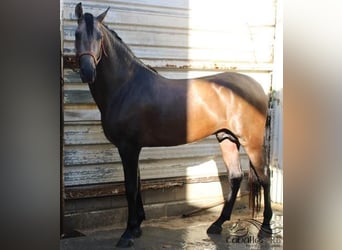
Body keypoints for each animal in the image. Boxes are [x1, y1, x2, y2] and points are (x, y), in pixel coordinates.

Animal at [74, 2, 272, 247]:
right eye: (76, 34)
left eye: (99, 37)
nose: (87, 72)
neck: (126, 86)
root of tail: (257, 86)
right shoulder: (133, 148)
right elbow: (137, 184)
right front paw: (137, 227)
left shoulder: (128, 147)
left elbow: (130, 187)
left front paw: (128, 233)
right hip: (227, 138)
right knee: (235, 177)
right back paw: (217, 224)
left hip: (251, 141)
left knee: (265, 178)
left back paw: (265, 228)